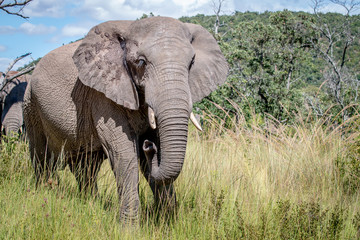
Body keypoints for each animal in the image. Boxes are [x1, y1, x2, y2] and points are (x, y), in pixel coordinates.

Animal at [23, 16, 228, 223]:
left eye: (192, 62)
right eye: (141, 62)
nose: (148, 146)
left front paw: (167, 222)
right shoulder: (103, 94)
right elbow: (123, 152)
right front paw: (129, 227)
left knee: (86, 167)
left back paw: (90, 203)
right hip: (31, 105)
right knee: (41, 157)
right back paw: (42, 194)